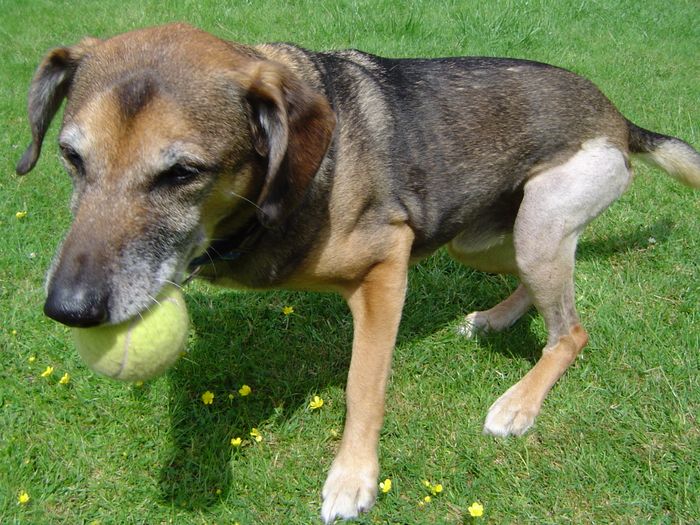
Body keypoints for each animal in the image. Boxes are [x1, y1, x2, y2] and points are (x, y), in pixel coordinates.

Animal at [16, 24, 700, 524]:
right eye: (70, 156)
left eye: (183, 173)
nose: (68, 308)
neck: (281, 182)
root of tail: (619, 119)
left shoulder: (386, 267)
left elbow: (362, 387)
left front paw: (353, 481)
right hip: (482, 237)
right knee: (539, 286)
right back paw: (495, 318)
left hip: (538, 226)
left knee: (572, 332)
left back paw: (518, 404)